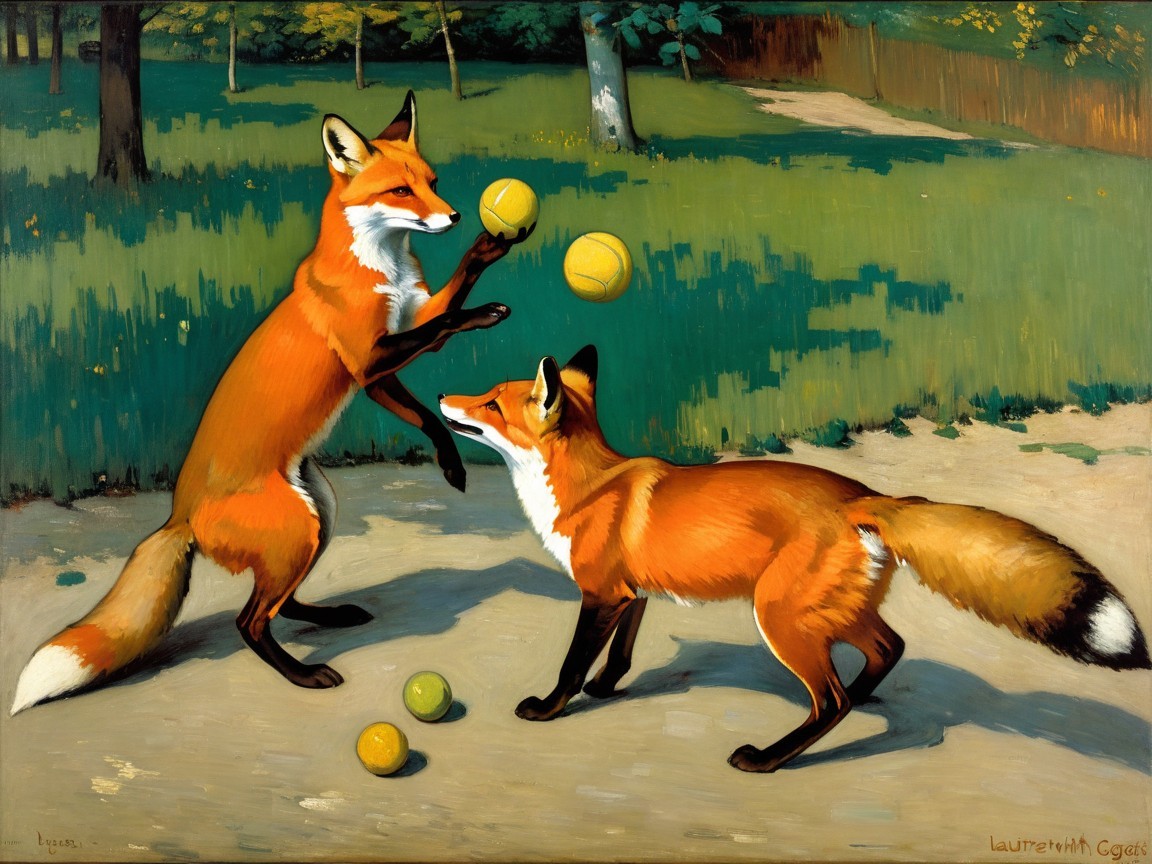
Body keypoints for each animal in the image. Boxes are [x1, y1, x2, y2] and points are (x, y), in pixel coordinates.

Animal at [11, 91, 523, 715]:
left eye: (432, 182)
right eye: (401, 192)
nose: (453, 217)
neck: (386, 269)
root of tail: (180, 514)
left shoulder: (384, 366)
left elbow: (430, 396)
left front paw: (488, 247)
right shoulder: (369, 358)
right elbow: (445, 322)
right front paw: (483, 313)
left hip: (319, 513)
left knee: (281, 601)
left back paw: (327, 615)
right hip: (299, 528)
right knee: (249, 621)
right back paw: (302, 673)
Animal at [439, 345, 1151, 772]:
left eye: (491, 403)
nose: (443, 397)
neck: (586, 485)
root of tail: (867, 496)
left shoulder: (600, 594)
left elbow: (572, 662)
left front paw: (550, 707)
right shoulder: (630, 592)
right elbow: (619, 655)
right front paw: (608, 688)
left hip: (779, 616)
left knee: (828, 699)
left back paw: (770, 757)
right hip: (826, 612)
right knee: (888, 649)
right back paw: (863, 702)